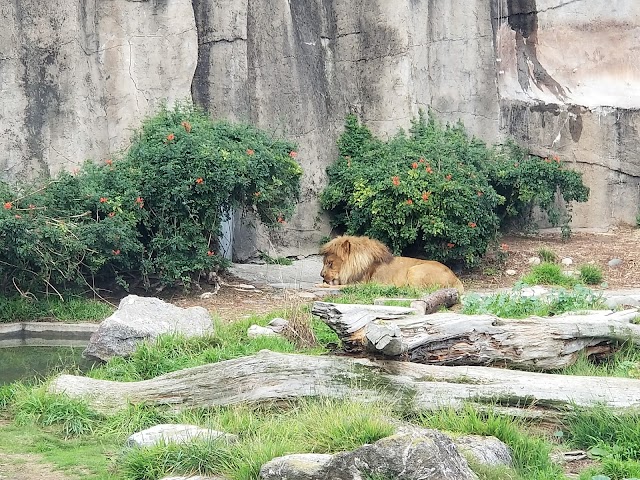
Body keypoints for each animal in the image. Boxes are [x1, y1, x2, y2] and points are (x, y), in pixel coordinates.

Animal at [318, 235, 462, 292]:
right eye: (324, 262)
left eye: (330, 263)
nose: (321, 275)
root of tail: (456, 279)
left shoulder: (361, 284)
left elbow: (338, 286)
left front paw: (321, 285)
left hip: (414, 270)